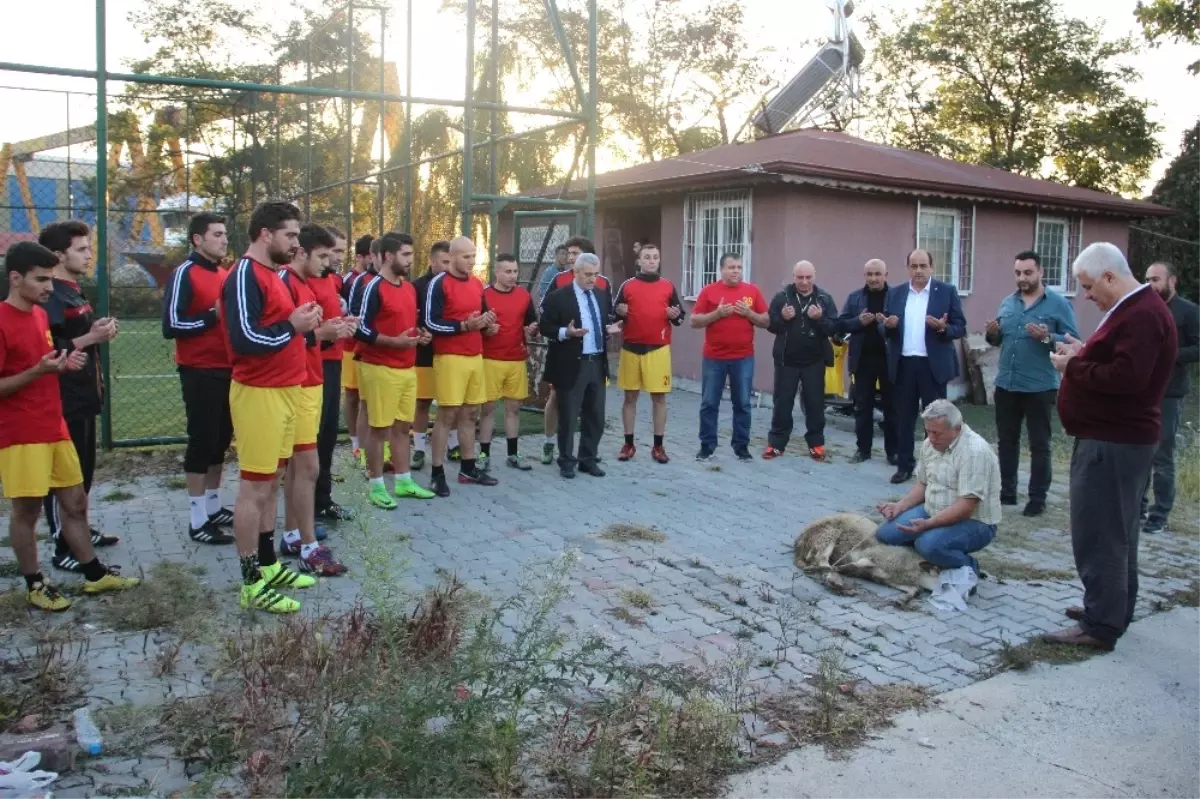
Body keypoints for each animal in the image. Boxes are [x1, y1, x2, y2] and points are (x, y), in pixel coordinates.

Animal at [796, 511, 936, 604]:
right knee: (822, 559)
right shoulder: (873, 556)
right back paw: (836, 581)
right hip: (828, 533)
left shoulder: (885, 577)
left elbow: (916, 590)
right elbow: (850, 565)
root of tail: (800, 543)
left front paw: (903, 599)